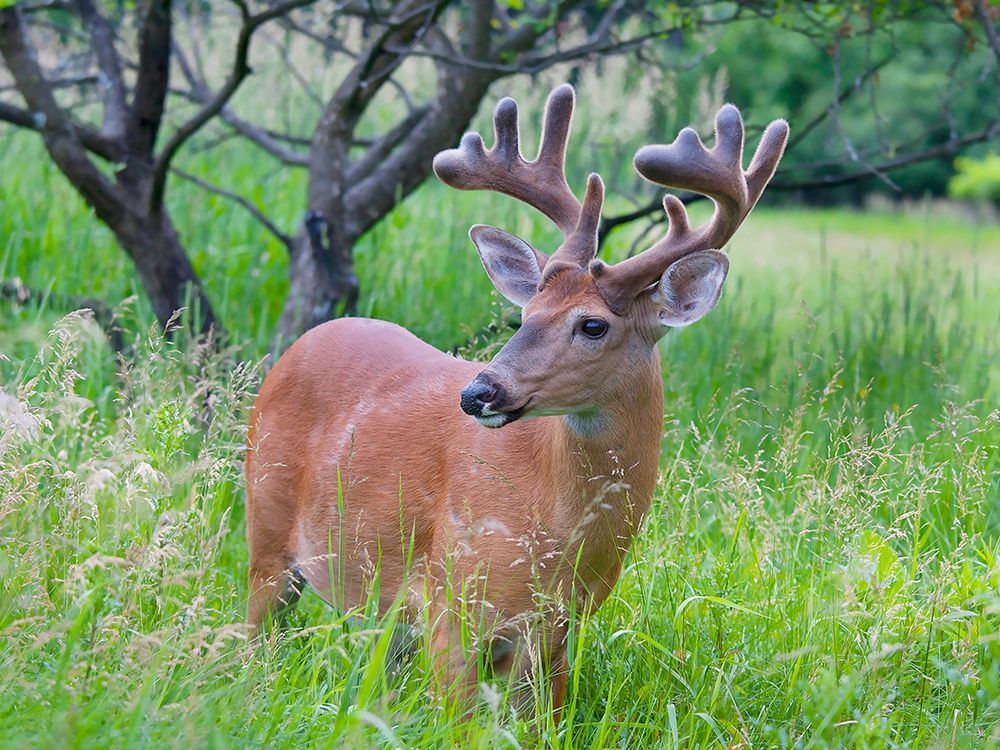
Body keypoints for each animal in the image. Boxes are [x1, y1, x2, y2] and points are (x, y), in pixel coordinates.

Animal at [244, 85, 788, 720]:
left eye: (593, 325)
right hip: (266, 530)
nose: (479, 391)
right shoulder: (450, 600)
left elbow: (540, 724)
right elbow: (459, 724)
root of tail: (294, 350)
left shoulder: (559, 629)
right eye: (525, 314)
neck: (559, 538)